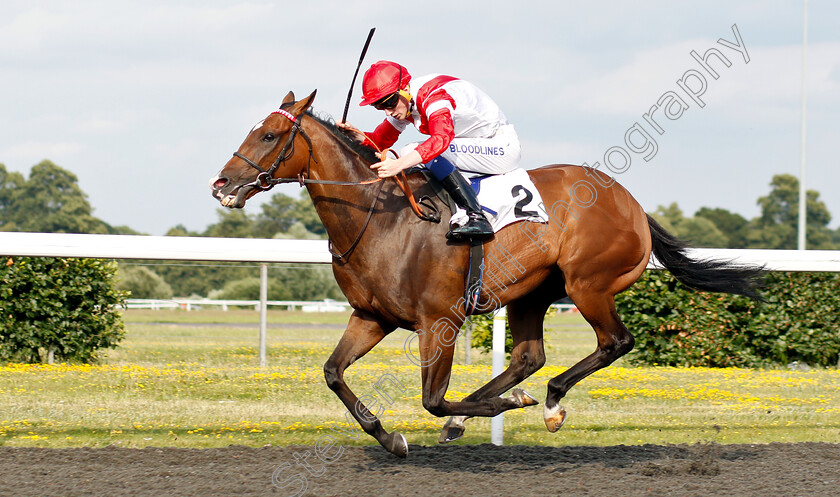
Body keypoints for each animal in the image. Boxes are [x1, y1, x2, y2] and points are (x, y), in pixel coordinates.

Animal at [207, 91, 764, 456]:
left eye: (270, 134)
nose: (222, 184)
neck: (380, 217)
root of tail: (631, 203)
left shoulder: (439, 321)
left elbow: (431, 399)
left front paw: (487, 411)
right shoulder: (371, 316)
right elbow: (332, 373)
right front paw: (389, 436)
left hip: (588, 284)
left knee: (613, 343)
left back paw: (549, 403)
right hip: (531, 294)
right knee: (528, 356)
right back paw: (495, 404)